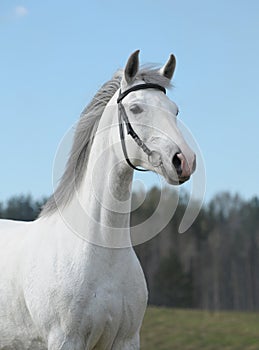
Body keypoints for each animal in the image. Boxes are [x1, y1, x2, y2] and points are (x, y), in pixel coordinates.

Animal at [0, 50, 196, 348]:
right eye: (136, 108)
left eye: (174, 110)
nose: (183, 160)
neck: (101, 248)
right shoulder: (66, 340)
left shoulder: (126, 340)